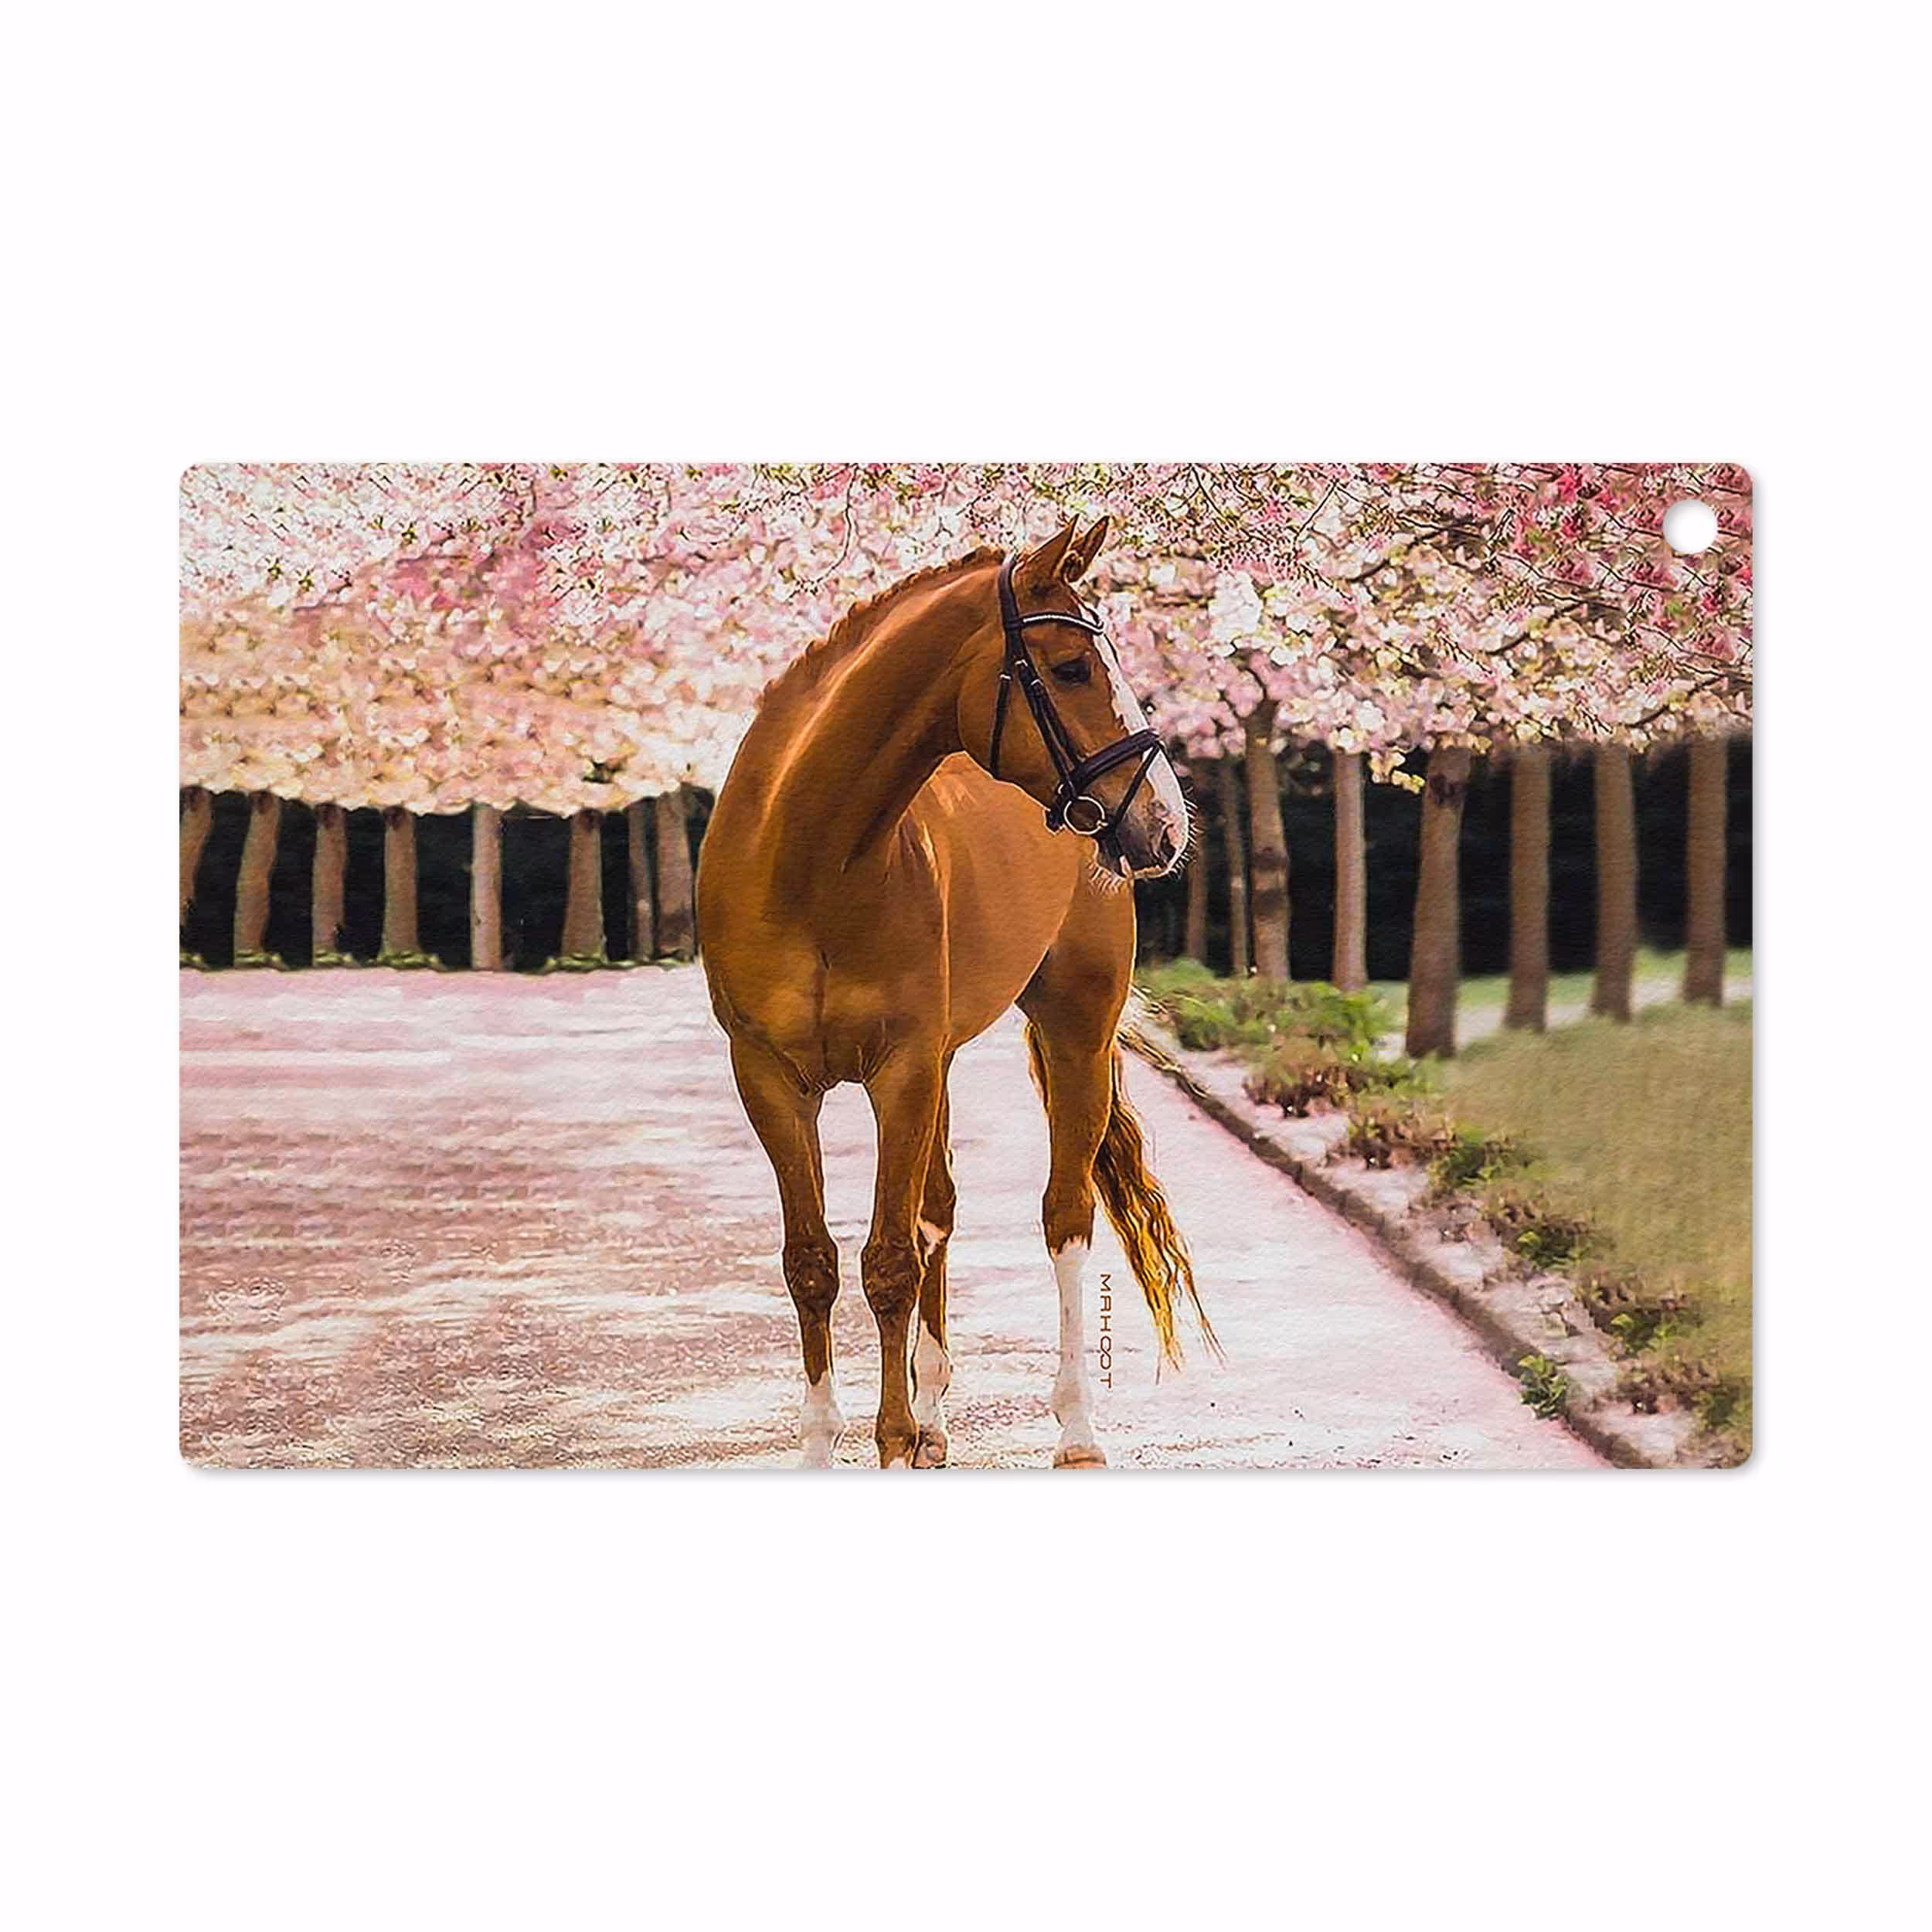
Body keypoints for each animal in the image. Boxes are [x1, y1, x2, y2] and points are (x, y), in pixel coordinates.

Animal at [697, 517, 1215, 1468]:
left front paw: (893, 1440)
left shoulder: (899, 1070)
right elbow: (813, 1261)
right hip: (938, 1064)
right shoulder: (769, 1079)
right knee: (938, 1209)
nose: (1164, 823)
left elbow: (888, 1260)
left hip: (1074, 1034)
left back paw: (1074, 1427)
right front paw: (834, 1441)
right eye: (1072, 667)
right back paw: (937, 1411)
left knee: (1064, 1217)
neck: (810, 864)